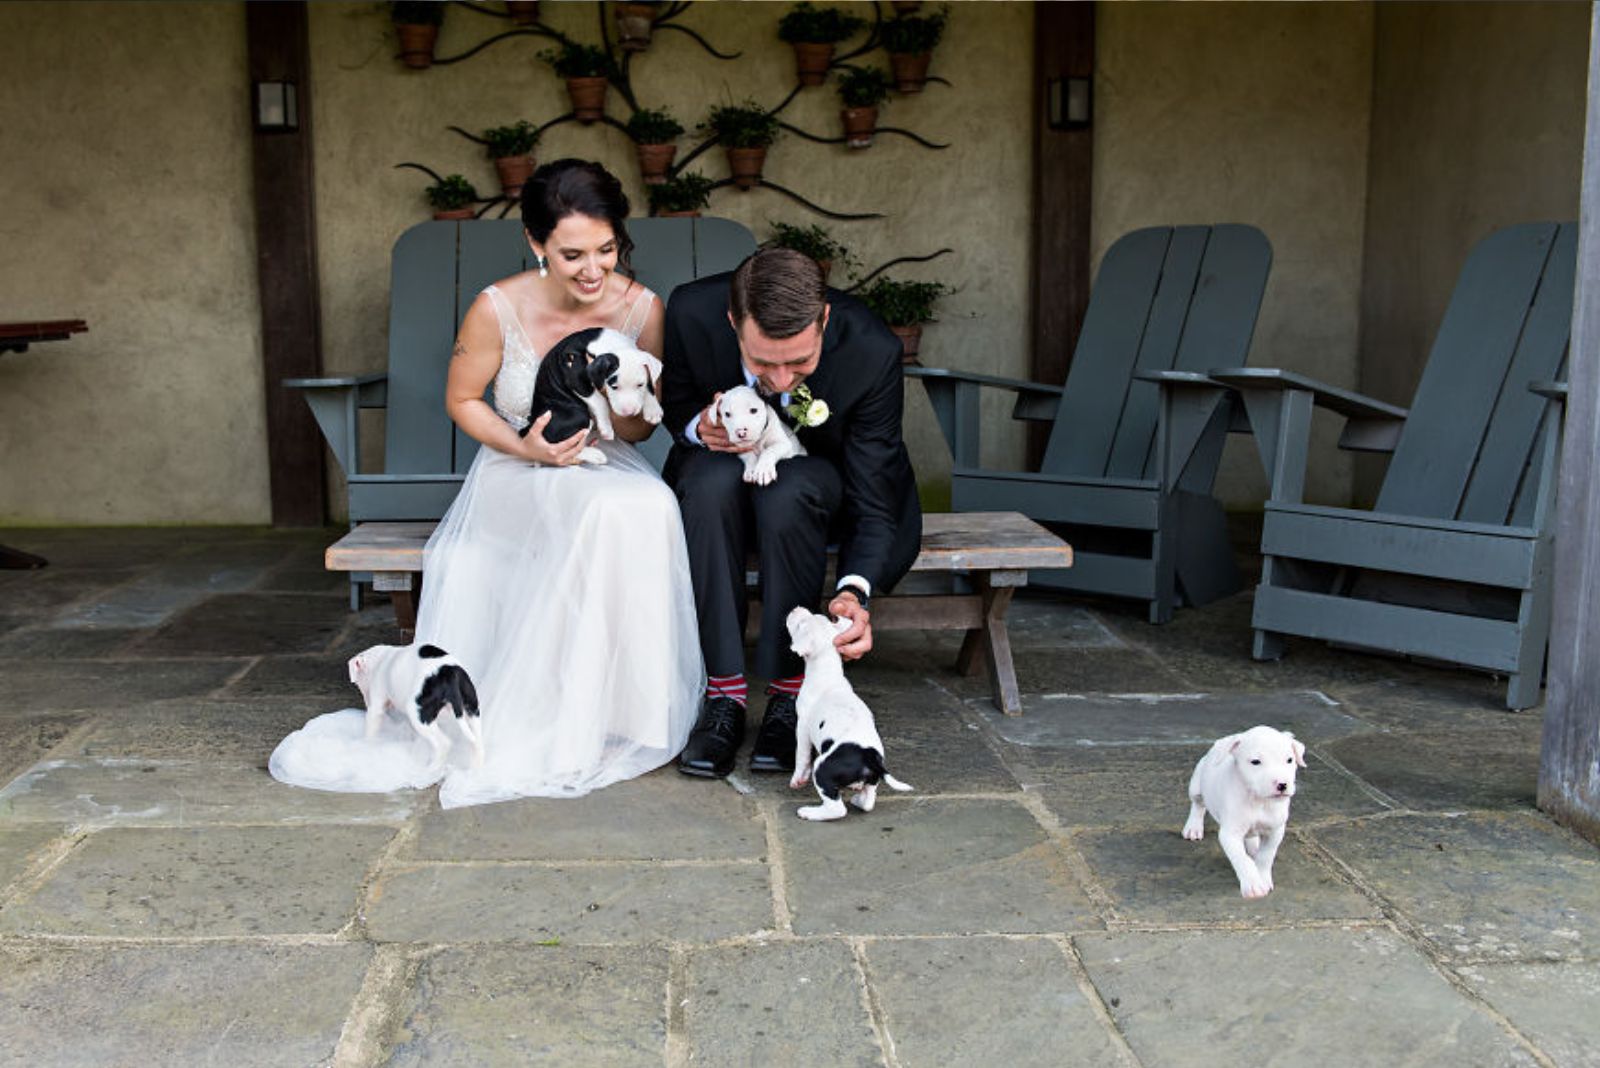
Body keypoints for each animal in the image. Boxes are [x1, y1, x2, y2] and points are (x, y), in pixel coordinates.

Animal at [355, 639, 486, 770]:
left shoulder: (376, 705)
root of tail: (450, 675)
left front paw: (366, 745)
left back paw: (430, 768)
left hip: (419, 715)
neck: (380, 658)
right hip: (472, 709)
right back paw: (475, 769)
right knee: (477, 743)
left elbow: (371, 727)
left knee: (444, 744)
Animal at [521, 322, 665, 460]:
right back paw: (595, 455)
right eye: (614, 387)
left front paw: (653, 410)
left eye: (640, 385)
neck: (614, 345)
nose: (629, 412)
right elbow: (600, 401)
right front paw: (606, 427)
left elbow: (650, 384)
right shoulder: (576, 378)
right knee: (561, 448)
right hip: (578, 416)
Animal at [784, 604, 915, 824]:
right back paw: (857, 798)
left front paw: (797, 779)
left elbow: (801, 755)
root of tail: (870, 757)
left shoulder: (802, 726)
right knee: (868, 801)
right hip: (871, 781)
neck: (827, 672)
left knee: (836, 809)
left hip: (823, 769)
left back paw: (809, 812)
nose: (797, 607)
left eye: (801, 624)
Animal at [1184, 725, 1305, 901]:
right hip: (1196, 786)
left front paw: (1263, 878)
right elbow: (1242, 860)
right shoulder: (1230, 835)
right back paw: (1193, 827)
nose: (1282, 785)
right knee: (1198, 805)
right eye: (1255, 762)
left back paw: (1254, 845)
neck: (1258, 799)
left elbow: (1266, 856)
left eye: (1289, 760)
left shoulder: (1275, 831)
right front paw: (1253, 885)